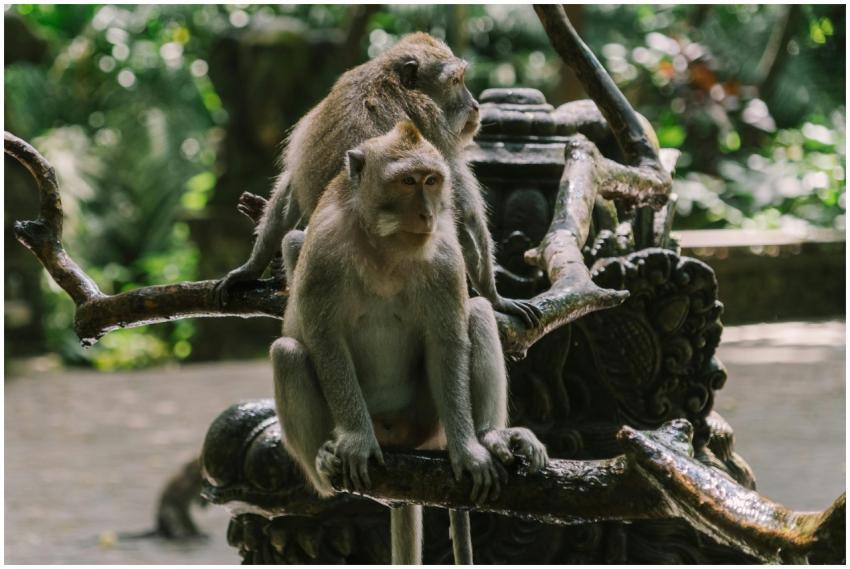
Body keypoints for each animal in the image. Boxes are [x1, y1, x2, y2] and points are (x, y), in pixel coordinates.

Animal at [271, 122, 548, 564]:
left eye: (431, 180)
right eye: (406, 181)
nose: (427, 213)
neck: (385, 247)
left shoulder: (445, 257)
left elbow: (448, 342)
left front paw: (468, 450)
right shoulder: (323, 253)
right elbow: (324, 339)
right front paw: (356, 440)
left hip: (425, 419)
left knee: (477, 313)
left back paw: (491, 435)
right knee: (288, 355)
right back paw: (325, 462)